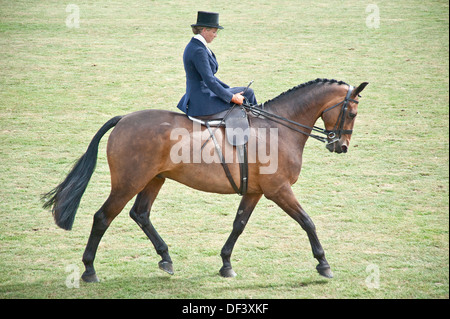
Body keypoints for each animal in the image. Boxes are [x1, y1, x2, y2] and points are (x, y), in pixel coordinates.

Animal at [42, 79, 368, 284]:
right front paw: (323, 265)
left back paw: (166, 258)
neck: (278, 128)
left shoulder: (255, 191)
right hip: (128, 183)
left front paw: (226, 264)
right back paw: (89, 270)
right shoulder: (279, 190)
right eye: (351, 112)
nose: (341, 147)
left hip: (154, 179)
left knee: (140, 214)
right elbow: (308, 222)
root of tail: (123, 119)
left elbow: (239, 224)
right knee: (103, 217)